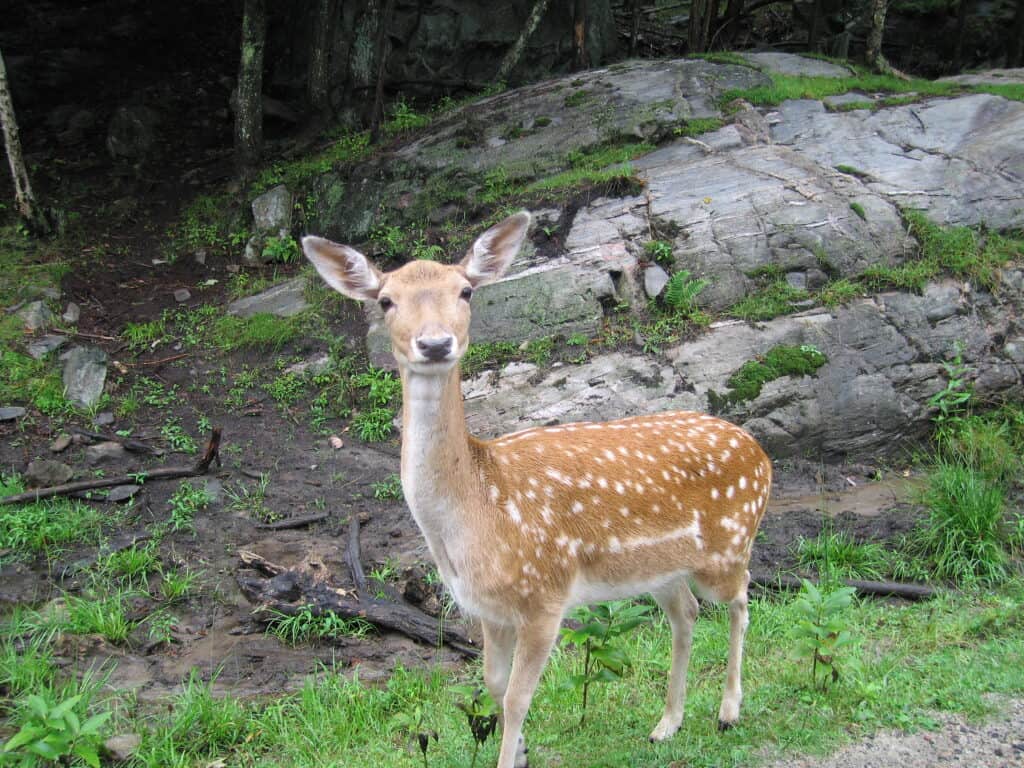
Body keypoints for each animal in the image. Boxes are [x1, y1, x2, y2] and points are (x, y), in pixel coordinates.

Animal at [299, 210, 770, 768]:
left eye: (466, 291)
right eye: (386, 300)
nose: (435, 343)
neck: (478, 511)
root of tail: (760, 453)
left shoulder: (545, 595)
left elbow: (519, 697)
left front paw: (513, 756)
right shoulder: (487, 609)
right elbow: (493, 686)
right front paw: (521, 751)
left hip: (729, 543)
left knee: (742, 599)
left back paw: (729, 711)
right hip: (658, 568)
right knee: (687, 614)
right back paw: (667, 724)